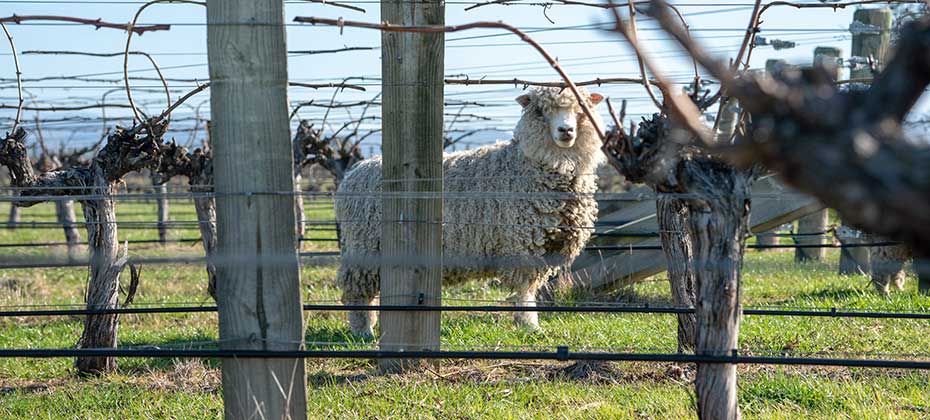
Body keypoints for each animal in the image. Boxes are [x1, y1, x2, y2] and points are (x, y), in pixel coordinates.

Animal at [334, 87, 606, 338]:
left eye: (581, 109)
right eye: (541, 111)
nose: (566, 131)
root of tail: (353, 174)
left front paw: (529, 324)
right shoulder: (520, 243)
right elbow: (525, 289)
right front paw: (529, 324)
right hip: (365, 247)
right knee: (356, 291)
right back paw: (363, 331)